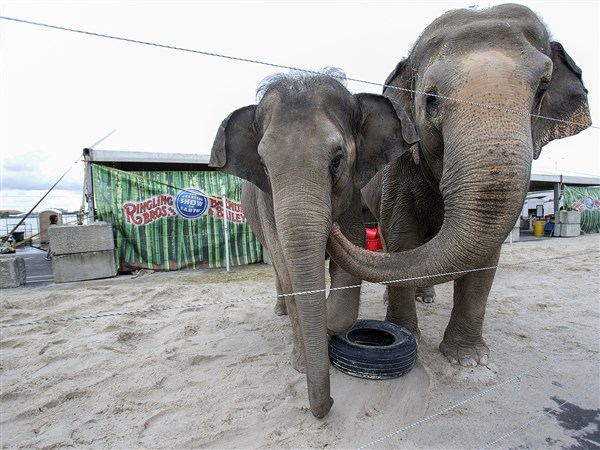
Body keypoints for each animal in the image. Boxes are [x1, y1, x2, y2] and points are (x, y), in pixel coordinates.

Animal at [210, 67, 418, 418]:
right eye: (264, 165)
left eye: (337, 160)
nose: (329, 404)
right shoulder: (268, 205)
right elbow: (288, 269)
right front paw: (301, 364)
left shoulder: (352, 197)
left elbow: (347, 268)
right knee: (278, 273)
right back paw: (280, 310)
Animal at [326, 3, 588, 368]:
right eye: (431, 99)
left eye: (542, 89)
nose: (332, 229)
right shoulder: (399, 173)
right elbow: (403, 237)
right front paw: (408, 333)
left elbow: (487, 256)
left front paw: (468, 358)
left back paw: (426, 297)